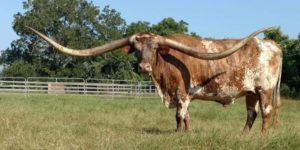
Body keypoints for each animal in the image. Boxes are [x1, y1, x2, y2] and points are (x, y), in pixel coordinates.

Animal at [27, 27, 282, 132]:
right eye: (137, 50)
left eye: (154, 48)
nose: (144, 66)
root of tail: (271, 44)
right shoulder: (178, 95)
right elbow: (183, 116)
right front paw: (183, 133)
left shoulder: (182, 93)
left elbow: (180, 114)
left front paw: (181, 134)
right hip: (250, 92)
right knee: (251, 114)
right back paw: (243, 135)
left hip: (265, 89)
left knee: (266, 113)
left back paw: (261, 136)